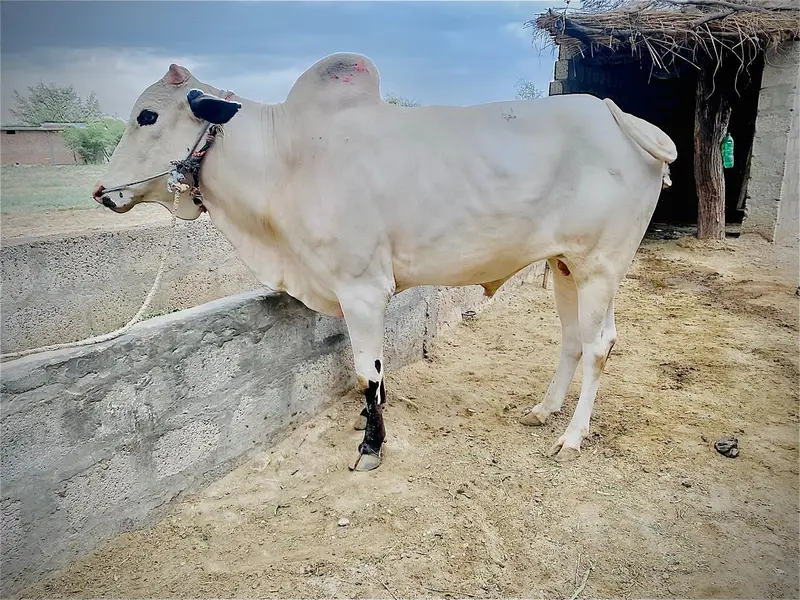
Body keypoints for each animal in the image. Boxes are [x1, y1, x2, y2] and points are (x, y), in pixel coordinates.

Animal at [92, 53, 677, 472]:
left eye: (147, 115)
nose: (100, 191)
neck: (287, 159)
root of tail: (617, 115)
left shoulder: (362, 288)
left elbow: (365, 372)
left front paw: (372, 444)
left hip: (602, 266)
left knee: (598, 345)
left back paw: (572, 436)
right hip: (565, 266)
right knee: (574, 339)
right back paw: (544, 410)